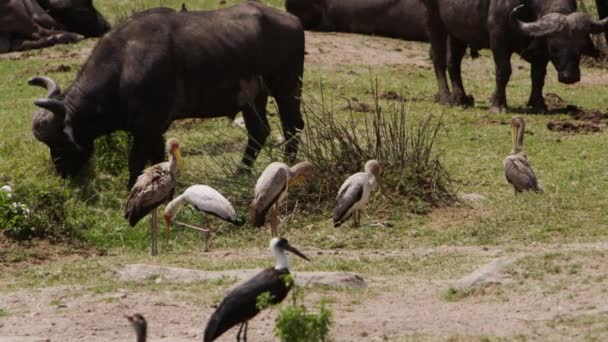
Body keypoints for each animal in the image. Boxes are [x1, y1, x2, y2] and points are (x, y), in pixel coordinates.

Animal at [28, 1, 304, 187]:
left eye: (59, 142)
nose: (62, 173)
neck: (122, 67)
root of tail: (293, 21)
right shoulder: (155, 130)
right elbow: (157, 159)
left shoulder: (145, 128)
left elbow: (136, 161)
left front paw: (131, 188)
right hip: (252, 98)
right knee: (259, 131)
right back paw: (240, 173)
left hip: (287, 89)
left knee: (292, 126)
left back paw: (288, 167)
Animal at [420, 0, 608, 113]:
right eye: (554, 48)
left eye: (580, 47)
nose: (570, 77)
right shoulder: (499, 40)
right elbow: (504, 72)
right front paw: (498, 105)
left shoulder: (539, 49)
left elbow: (538, 76)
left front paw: (538, 104)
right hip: (433, 20)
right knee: (439, 61)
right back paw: (446, 98)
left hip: (457, 32)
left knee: (454, 63)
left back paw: (461, 98)